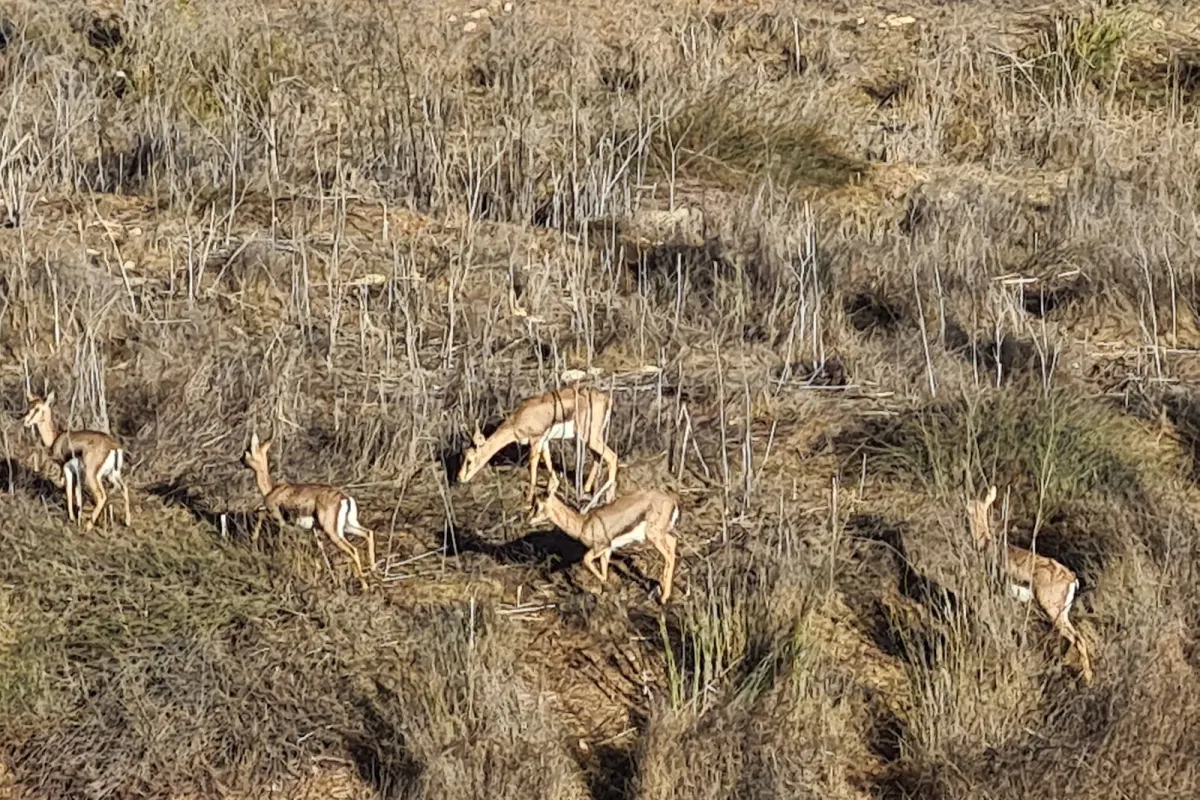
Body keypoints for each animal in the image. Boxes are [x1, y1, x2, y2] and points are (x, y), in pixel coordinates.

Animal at [22, 391, 131, 530]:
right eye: (28, 406)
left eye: (38, 409)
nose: (25, 421)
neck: (56, 438)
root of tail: (113, 446)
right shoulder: (77, 472)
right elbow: (77, 493)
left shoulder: (66, 468)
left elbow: (68, 491)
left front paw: (72, 518)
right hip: (112, 475)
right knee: (124, 488)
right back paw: (127, 521)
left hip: (92, 476)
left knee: (101, 496)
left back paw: (88, 526)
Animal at [242, 433, 377, 591]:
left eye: (247, 451)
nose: (241, 461)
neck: (272, 489)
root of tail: (344, 498)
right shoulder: (313, 531)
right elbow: (318, 552)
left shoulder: (283, 522)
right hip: (348, 526)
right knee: (368, 533)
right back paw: (373, 571)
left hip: (333, 532)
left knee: (353, 550)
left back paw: (365, 585)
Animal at [459, 386, 620, 504]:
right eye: (463, 455)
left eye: (469, 460)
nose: (460, 478)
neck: (518, 419)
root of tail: (606, 399)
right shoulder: (544, 441)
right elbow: (547, 459)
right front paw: (553, 485)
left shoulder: (535, 440)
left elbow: (533, 465)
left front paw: (529, 498)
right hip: (590, 439)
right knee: (598, 458)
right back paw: (586, 490)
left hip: (590, 438)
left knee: (612, 456)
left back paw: (609, 498)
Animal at [527, 484, 680, 604]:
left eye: (537, 505)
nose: (529, 519)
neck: (583, 524)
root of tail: (672, 502)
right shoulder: (607, 549)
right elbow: (604, 569)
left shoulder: (600, 546)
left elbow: (586, 560)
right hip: (660, 535)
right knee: (672, 543)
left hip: (654, 536)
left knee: (669, 555)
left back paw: (663, 597)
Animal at [967, 486, 1094, 685]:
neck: (985, 544)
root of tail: (1072, 579)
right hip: (1062, 613)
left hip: (1053, 611)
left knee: (1077, 638)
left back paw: (1087, 680)